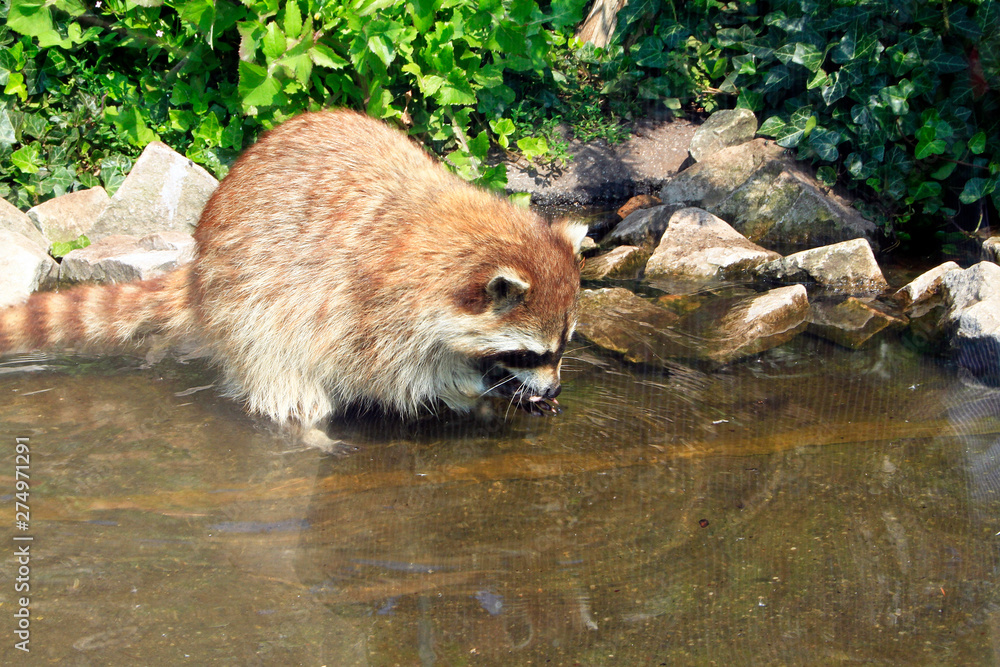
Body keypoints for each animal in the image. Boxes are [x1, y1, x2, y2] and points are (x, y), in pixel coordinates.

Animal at [0, 110, 587, 437]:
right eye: (530, 354)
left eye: (562, 348)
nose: (555, 387)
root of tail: (199, 260)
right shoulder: (369, 306)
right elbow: (395, 376)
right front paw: (477, 388)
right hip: (246, 296)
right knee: (280, 369)